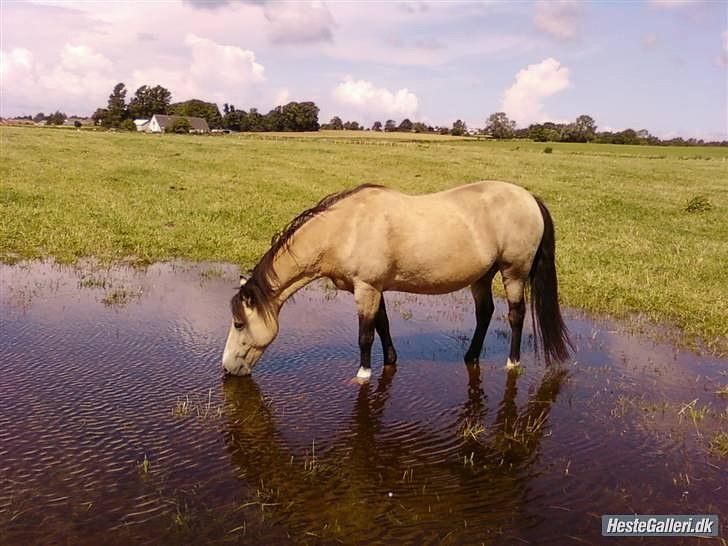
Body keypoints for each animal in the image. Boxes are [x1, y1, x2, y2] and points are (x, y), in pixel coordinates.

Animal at [222, 181, 572, 381]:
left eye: (239, 324)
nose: (227, 368)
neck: (345, 227)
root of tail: (529, 198)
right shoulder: (374, 288)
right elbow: (383, 325)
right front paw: (390, 362)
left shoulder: (366, 289)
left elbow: (365, 334)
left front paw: (364, 373)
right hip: (482, 277)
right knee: (484, 313)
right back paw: (471, 357)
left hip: (513, 272)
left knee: (515, 315)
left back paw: (512, 363)